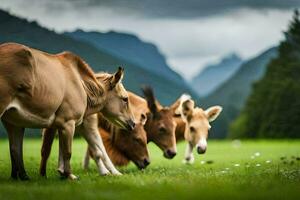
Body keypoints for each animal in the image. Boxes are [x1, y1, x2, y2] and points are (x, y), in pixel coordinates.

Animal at [0, 42, 134, 180]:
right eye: (125, 99)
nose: (133, 123)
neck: (82, 87)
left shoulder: (59, 124)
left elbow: (55, 150)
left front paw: (56, 174)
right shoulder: (68, 122)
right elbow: (66, 152)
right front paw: (69, 175)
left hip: (13, 122)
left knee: (15, 148)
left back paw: (20, 176)